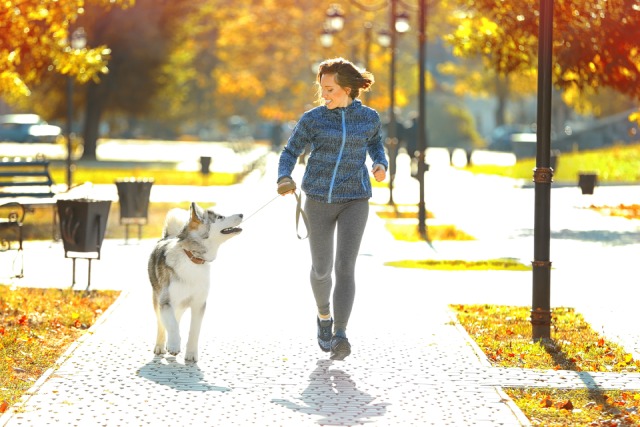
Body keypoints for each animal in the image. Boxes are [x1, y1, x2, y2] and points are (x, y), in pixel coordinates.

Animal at [148, 203, 242, 362]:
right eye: (220, 217)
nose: (241, 214)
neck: (191, 258)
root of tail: (167, 237)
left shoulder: (199, 304)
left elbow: (194, 331)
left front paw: (191, 354)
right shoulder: (166, 302)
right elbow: (172, 325)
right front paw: (174, 345)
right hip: (158, 301)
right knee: (161, 324)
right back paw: (161, 346)